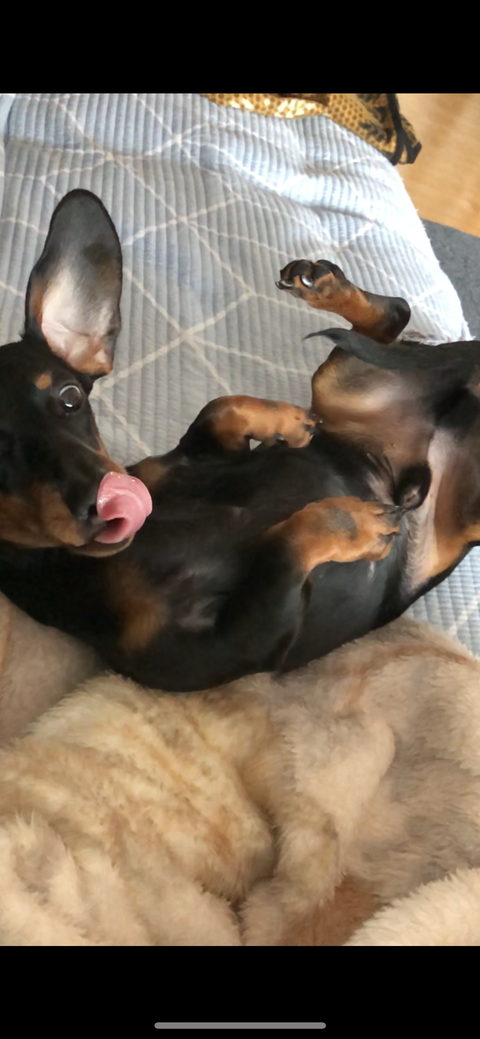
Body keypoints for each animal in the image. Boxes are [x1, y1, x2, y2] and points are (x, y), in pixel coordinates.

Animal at [1, 189, 480, 692]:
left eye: (70, 397)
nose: (102, 500)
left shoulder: (192, 460)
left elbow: (219, 409)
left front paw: (286, 422)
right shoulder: (246, 639)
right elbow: (282, 546)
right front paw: (354, 523)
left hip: (346, 376)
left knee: (395, 317)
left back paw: (322, 285)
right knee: (395, 319)